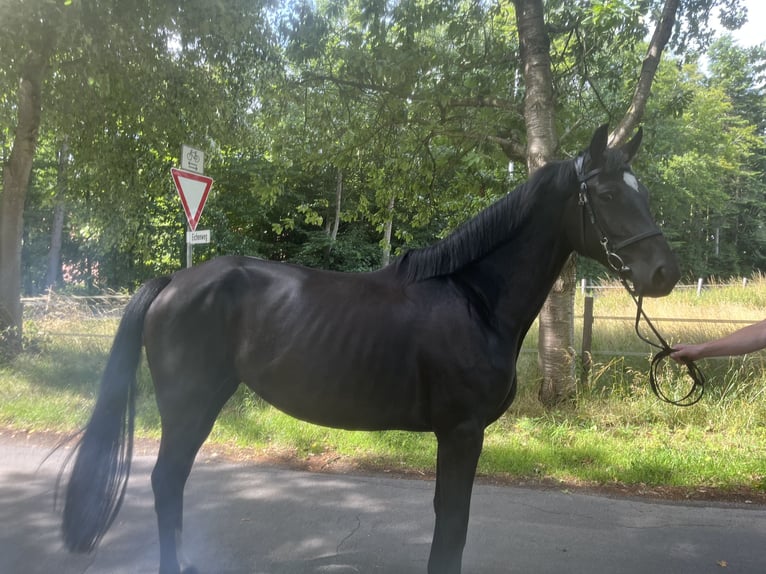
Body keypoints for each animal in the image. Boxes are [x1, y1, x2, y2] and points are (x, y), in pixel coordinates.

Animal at [61, 124, 680, 574]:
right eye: (606, 194)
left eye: (646, 193)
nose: (664, 272)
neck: (474, 299)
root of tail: (174, 281)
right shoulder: (461, 433)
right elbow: (451, 525)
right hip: (189, 405)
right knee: (166, 481)